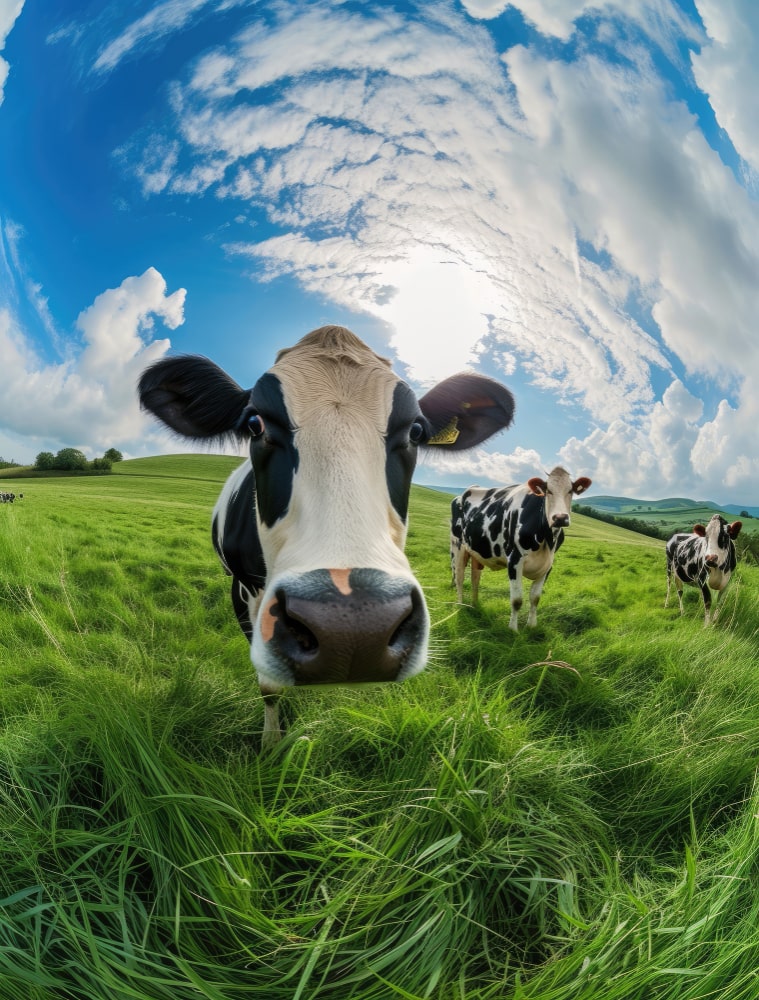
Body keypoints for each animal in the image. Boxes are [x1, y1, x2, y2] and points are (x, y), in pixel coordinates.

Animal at [139, 324, 515, 745]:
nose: (351, 628)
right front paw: (272, 743)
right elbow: (268, 683)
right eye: (255, 423)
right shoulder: (243, 591)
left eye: (416, 431)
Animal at [450, 466, 591, 631]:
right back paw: (460, 605)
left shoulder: (548, 565)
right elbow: (517, 600)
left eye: (570, 491)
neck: (546, 539)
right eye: (548, 491)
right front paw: (513, 629)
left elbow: (535, 598)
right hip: (457, 546)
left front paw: (531, 625)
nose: (560, 518)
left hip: (477, 552)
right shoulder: (514, 561)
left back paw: (475, 605)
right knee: (459, 577)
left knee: (475, 578)